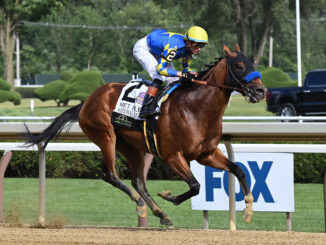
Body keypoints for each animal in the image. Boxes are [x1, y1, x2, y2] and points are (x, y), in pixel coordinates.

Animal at [24, 44, 264, 226]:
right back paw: (141, 205)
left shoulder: (206, 154)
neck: (195, 108)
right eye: (240, 65)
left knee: (138, 180)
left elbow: (238, 170)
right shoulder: (172, 155)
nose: (261, 91)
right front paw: (169, 195)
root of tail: (87, 100)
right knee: (111, 175)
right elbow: (195, 186)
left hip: (131, 146)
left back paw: (161, 214)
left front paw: (248, 210)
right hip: (106, 136)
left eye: (253, 64)